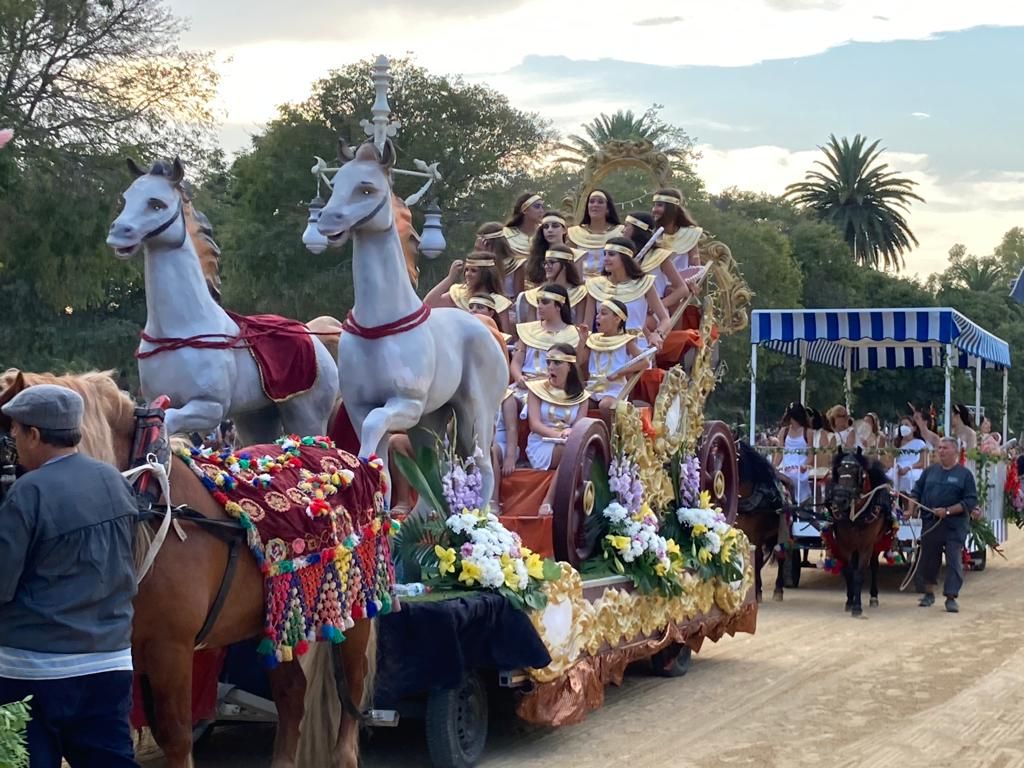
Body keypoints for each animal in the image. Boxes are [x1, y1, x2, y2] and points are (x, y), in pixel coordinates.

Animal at [0, 370, 376, 768]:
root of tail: (335, 448)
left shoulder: (171, 649)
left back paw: (344, 755)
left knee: (353, 686)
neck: (147, 501)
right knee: (291, 693)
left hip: (356, 607)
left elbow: (175, 735)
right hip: (275, 621)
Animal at [819, 450, 892, 618]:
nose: (840, 500)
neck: (856, 516)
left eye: (856, 472)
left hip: (874, 544)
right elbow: (849, 572)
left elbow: (859, 574)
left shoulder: (866, 545)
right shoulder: (844, 543)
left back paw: (873, 597)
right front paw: (849, 601)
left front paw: (857, 607)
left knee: (874, 566)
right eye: (838, 471)